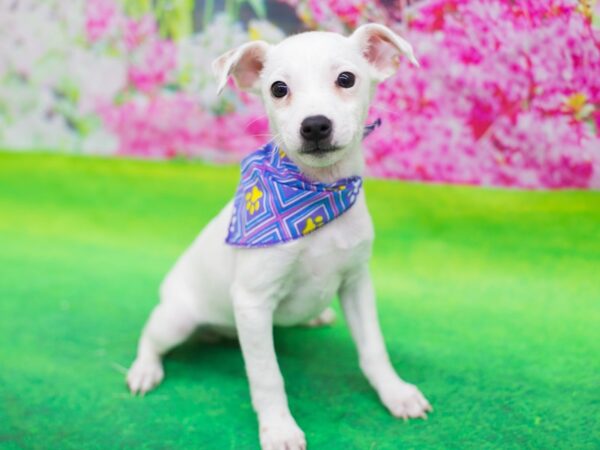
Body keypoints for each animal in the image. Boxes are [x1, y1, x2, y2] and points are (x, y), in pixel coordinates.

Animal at [126, 23, 432, 450]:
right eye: (278, 89)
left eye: (347, 79)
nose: (315, 125)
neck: (318, 194)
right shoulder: (253, 302)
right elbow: (268, 376)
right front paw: (279, 428)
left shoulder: (356, 282)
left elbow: (373, 348)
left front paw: (396, 393)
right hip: (177, 319)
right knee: (150, 337)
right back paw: (144, 370)